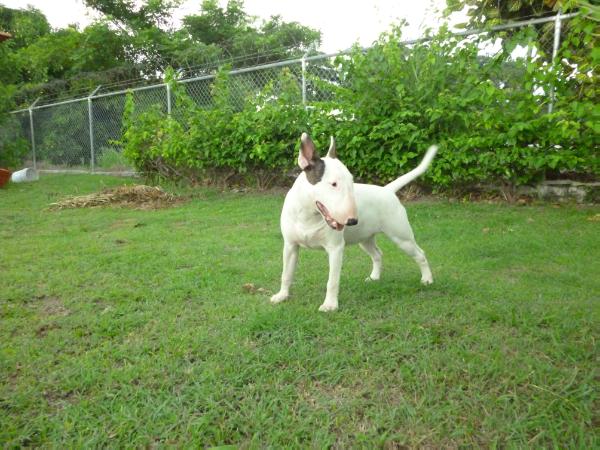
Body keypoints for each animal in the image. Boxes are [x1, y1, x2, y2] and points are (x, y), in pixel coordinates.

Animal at [270, 132, 436, 312]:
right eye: (334, 184)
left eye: (351, 181)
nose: (352, 221)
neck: (309, 216)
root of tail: (387, 190)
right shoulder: (290, 246)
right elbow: (286, 274)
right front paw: (282, 296)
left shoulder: (335, 249)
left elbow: (332, 281)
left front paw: (330, 305)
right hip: (365, 238)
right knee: (377, 254)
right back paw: (374, 277)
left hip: (401, 237)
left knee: (420, 254)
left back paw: (427, 279)